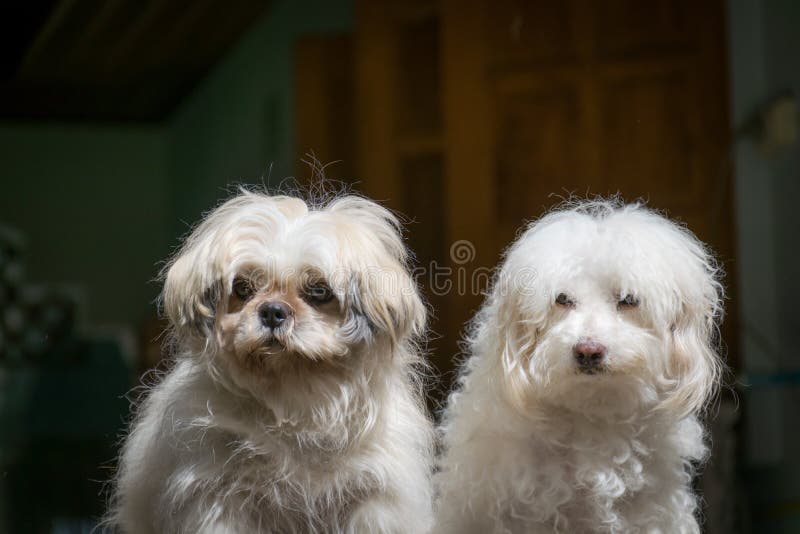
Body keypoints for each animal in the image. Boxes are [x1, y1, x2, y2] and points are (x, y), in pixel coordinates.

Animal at [105, 191, 434, 532]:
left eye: (319, 291)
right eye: (242, 288)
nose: (273, 311)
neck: (294, 402)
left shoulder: (373, 501)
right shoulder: (220, 499)